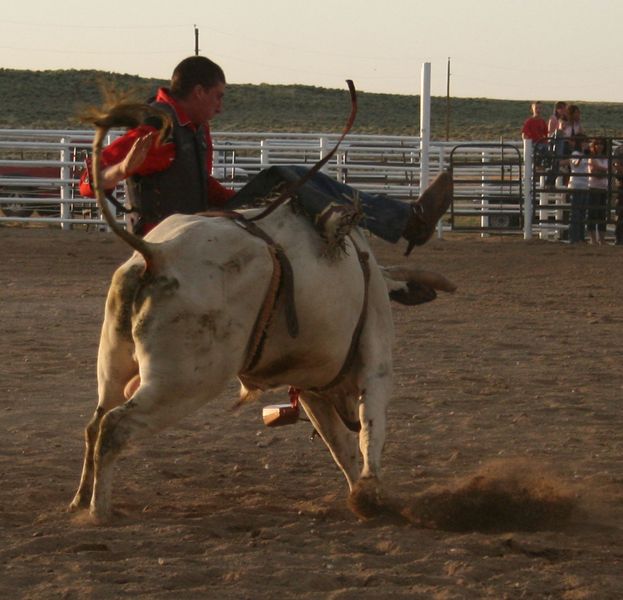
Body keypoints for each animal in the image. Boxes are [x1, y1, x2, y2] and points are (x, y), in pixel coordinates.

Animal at [70, 101, 456, 524]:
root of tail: (158, 253)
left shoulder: (312, 387)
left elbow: (341, 446)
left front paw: (358, 489)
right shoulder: (375, 362)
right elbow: (371, 426)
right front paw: (372, 493)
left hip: (115, 359)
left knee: (94, 423)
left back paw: (80, 500)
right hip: (184, 380)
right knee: (114, 428)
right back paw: (99, 510)